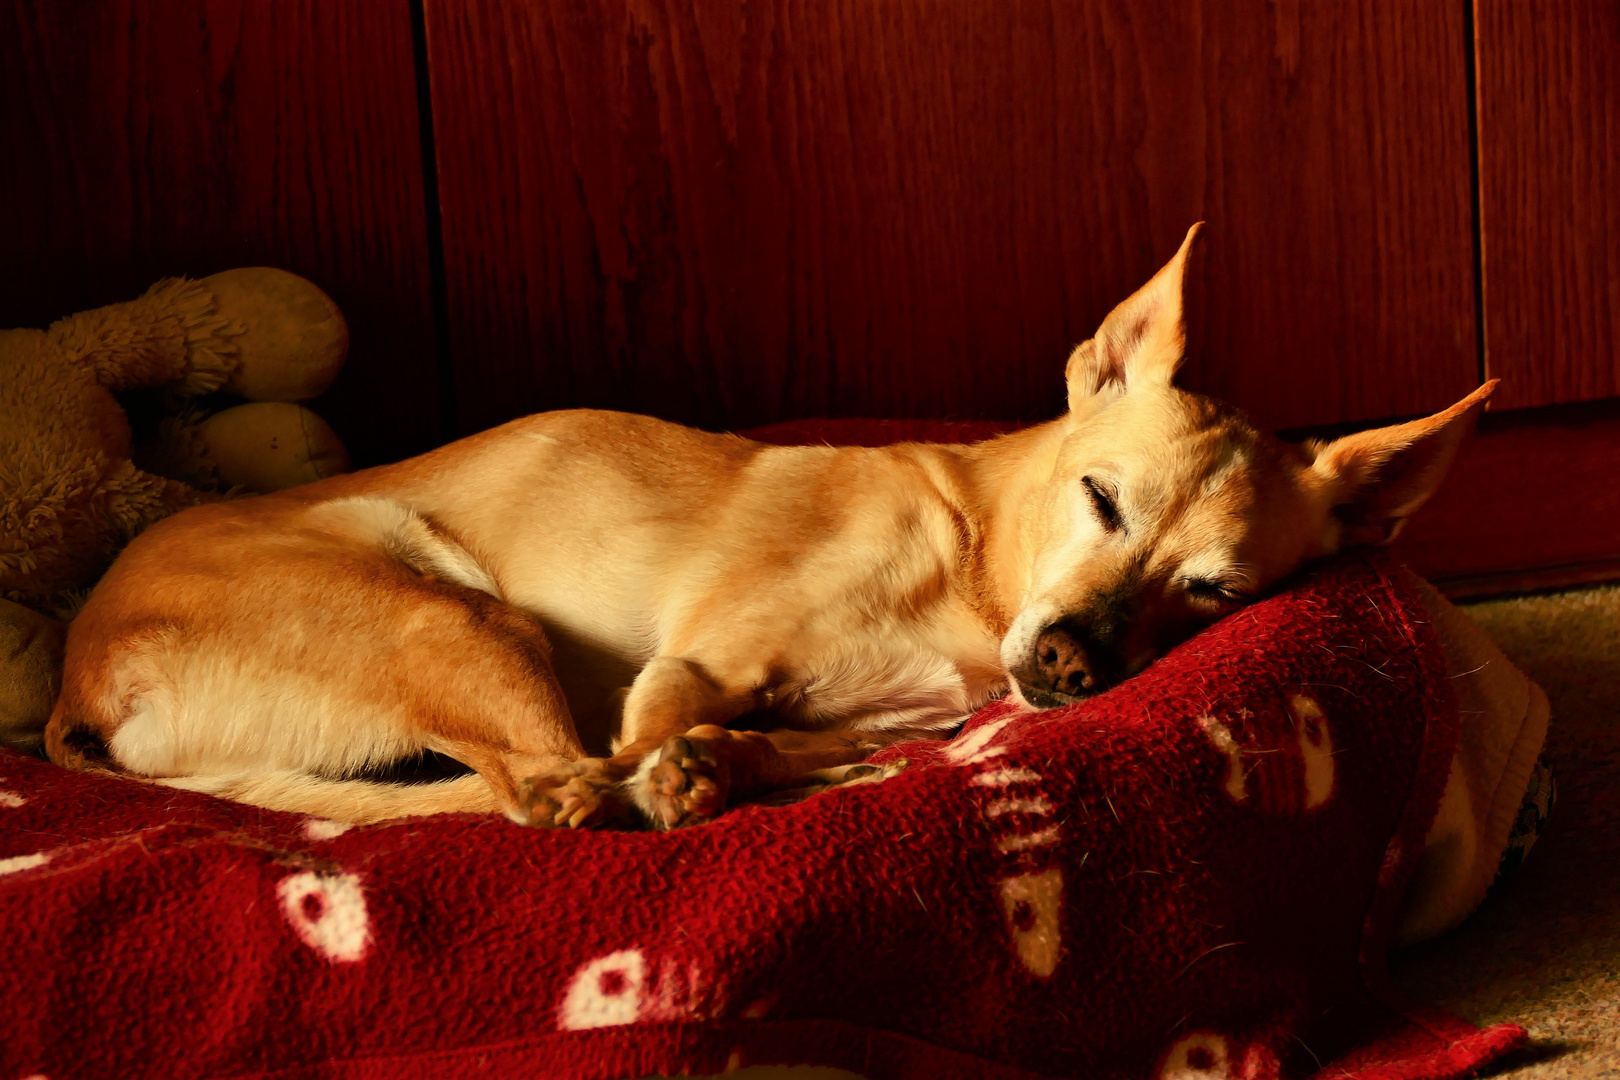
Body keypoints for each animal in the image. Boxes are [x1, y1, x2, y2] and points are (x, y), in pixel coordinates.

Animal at [44, 228, 1496, 835]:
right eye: (1099, 500)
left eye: (1215, 593)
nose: (1071, 663)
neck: (972, 566)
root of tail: (76, 680)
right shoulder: (681, 671)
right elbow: (657, 739)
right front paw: (732, 765)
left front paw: (782, 760)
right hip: (452, 610)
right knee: (558, 788)